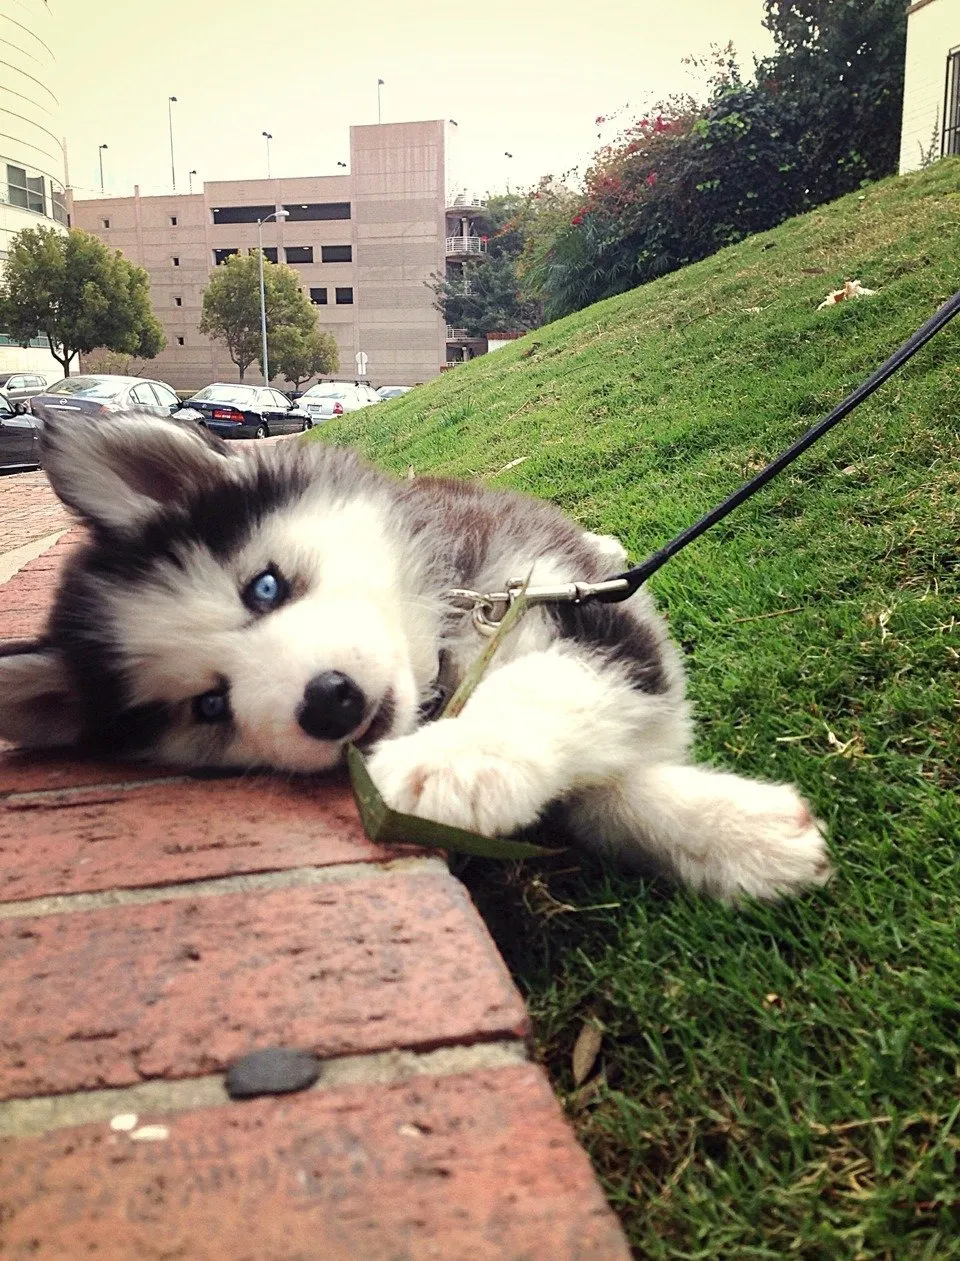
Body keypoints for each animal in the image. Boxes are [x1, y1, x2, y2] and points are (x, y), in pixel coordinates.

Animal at [0, 418, 832, 902]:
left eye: (264, 587)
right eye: (208, 704)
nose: (327, 699)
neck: (437, 644)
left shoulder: (573, 605)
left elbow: (550, 688)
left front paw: (455, 761)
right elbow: (597, 788)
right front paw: (748, 836)